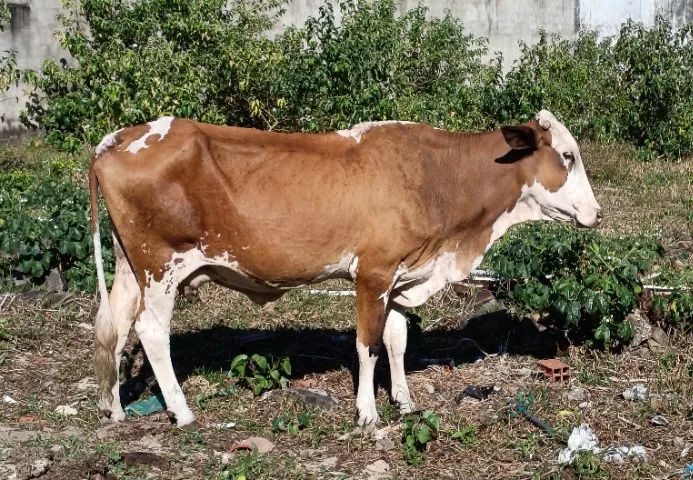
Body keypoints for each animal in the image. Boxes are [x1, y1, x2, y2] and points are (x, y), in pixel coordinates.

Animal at [89, 110, 602, 428]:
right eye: (567, 156)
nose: (597, 213)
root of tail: (121, 137)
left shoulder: (403, 276)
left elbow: (397, 341)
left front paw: (404, 401)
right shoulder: (372, 274)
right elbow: (368, 346)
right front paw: (368, 413)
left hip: (130, 268)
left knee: (111, 327)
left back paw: (113, 407)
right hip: (160, 265)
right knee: (152, 332)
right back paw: (182, 411)